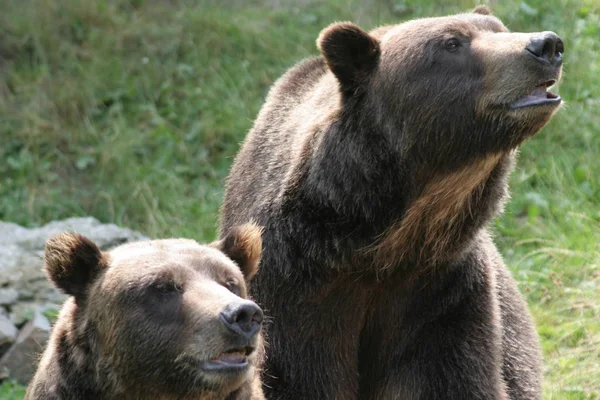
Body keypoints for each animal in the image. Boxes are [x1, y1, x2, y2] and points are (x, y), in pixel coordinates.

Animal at [220, 5, 564, 400]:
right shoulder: (295, 297)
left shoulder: (440, 296)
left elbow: (450, 378)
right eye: (452, 43)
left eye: (499, 28)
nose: (546, 45)